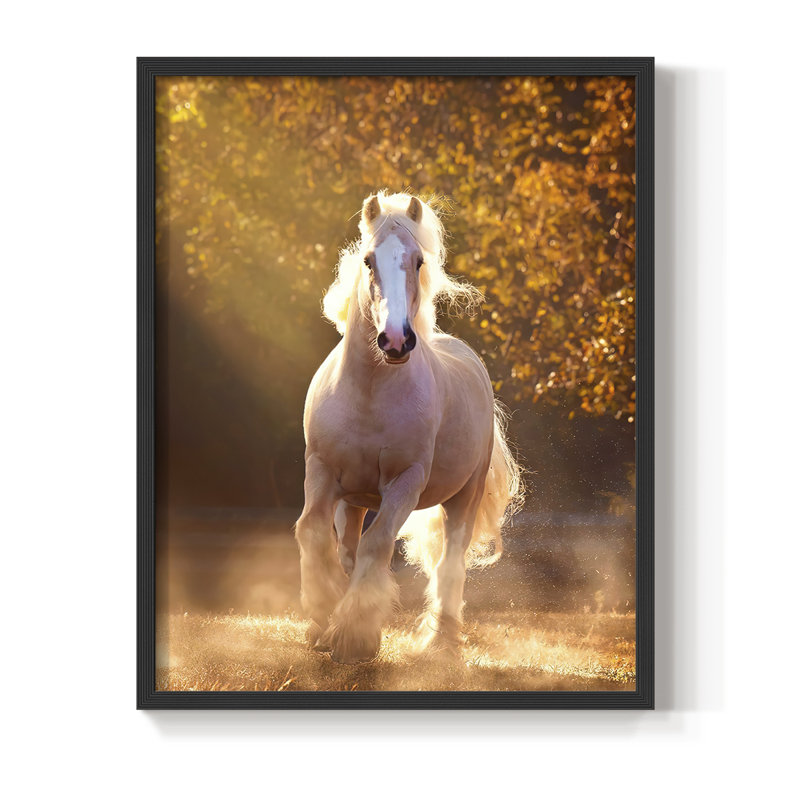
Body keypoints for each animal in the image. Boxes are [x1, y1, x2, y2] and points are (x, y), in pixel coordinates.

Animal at [295, 191, 522, 664]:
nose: (396, 341)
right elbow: (312, 532)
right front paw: (323, 615)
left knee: (451, 562)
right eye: (367, 260)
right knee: (347, 547)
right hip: (353, 499)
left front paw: (355, 636)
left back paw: (442, 641)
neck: (369, 392)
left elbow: (377, 543)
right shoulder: (321, 470)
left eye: (418, 261)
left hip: (464, 497)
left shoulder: (404, 482)